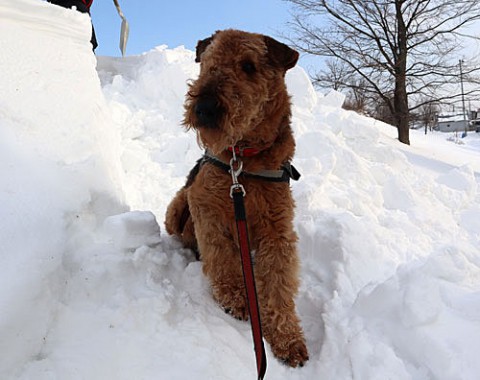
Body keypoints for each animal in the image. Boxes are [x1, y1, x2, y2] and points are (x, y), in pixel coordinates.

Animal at [165, 29, 308, 368]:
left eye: (248, 66)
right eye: (207, 62)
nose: (203, 108)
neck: (244, 161)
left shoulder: (277, 230)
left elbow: (278, 283)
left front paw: (288, 339)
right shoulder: (206, 207)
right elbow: (223, 258)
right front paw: (237, 298)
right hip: (177, 205)